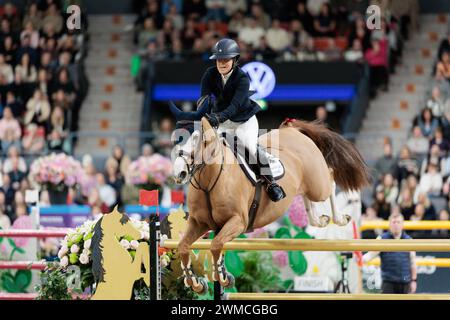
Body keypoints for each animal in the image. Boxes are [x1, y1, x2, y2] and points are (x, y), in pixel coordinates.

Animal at [172, 117, 370, 292]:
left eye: (196, 140)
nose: (178, 173)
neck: (209, 181)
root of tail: (293, 130)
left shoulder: (238, 222)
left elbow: (215, 245)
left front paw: (222, 277)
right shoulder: (199, 223)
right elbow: (184, 247)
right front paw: (195, 283)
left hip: (318, 184)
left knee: (331, 181)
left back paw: (340, 218)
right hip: (306, 185)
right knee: (307, 196)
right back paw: (319, 220)